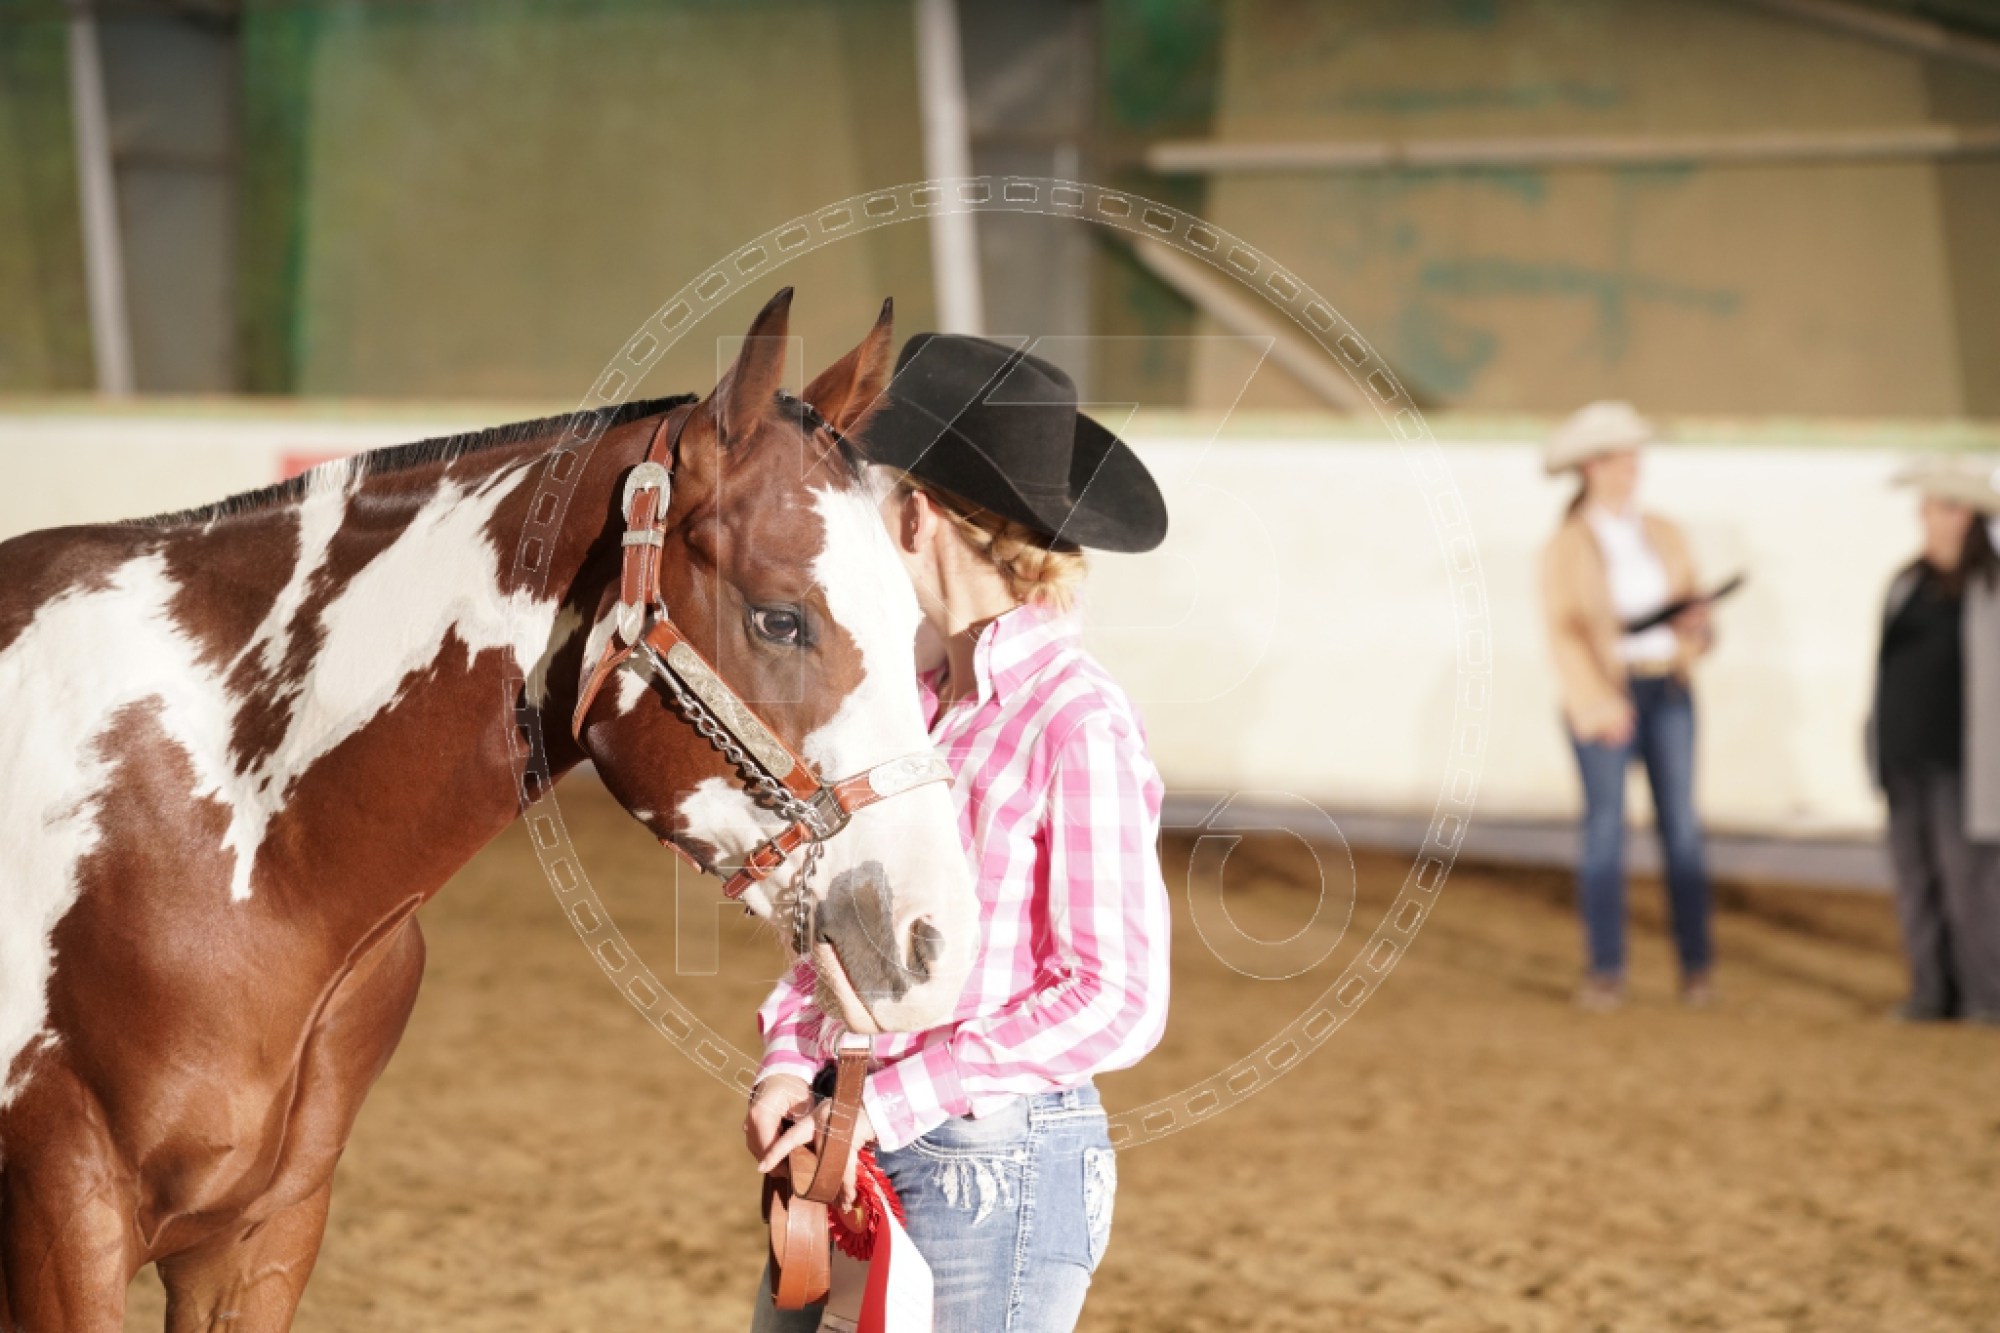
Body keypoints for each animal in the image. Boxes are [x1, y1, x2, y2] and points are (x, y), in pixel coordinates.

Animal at [0, 288, 979, 1330]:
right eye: (780, 618)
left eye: (912, 621)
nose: (933, 939)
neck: (246, 861)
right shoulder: (66, 1220)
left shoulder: (263, 1236)